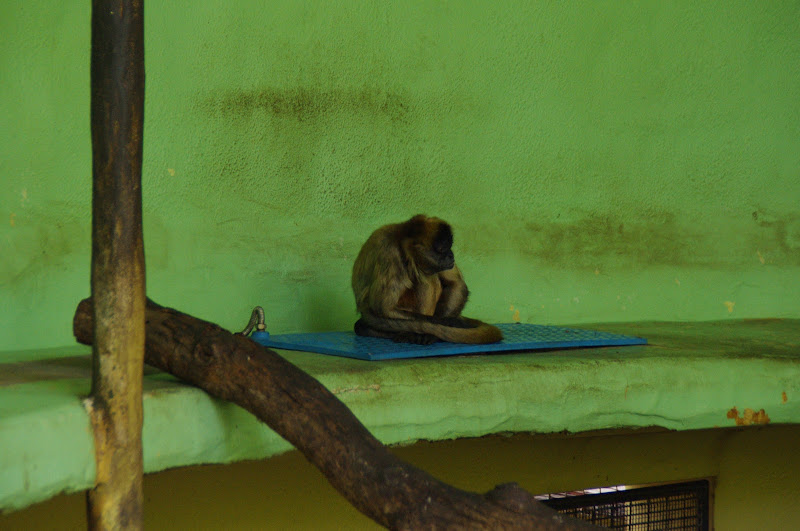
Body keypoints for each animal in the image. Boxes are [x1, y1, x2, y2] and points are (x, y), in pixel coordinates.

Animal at [351, 214, 503, 345]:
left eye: (450, 247)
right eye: (443, 249)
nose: (451, 255)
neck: (400, 239)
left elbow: (456, 284)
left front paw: (434, 332)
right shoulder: (389, 254)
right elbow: (383, 309)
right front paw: (451, 323)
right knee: (427, 278)